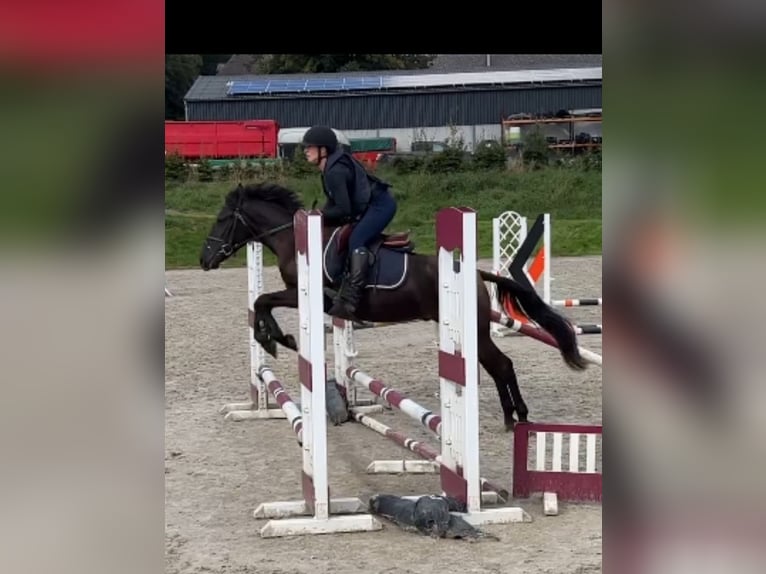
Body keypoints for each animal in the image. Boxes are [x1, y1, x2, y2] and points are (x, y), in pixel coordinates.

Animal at [198, 182, 588, 430]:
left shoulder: (306, 294)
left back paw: (517, 417)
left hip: (475, 330)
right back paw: (513, 417)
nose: (204, 259)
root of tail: (475, 272)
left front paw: (276, 340)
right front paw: (275, 339)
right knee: (498, 367)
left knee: (502, 365)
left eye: (222, 219)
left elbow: (262, 301)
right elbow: (260, 303)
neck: (293, 239)